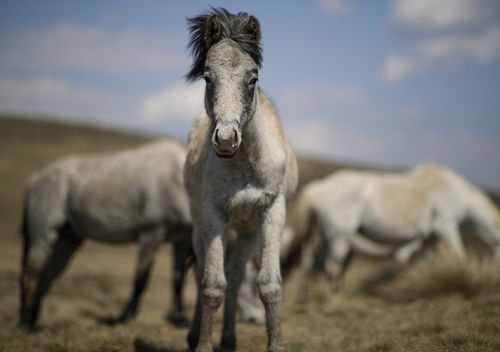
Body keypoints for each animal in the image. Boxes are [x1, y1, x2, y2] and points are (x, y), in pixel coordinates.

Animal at [18, 140, 193, 330]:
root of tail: (35, 179)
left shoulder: (181, 240)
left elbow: (178, 280)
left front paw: (179, 319)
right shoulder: (152, 235)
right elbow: (141, 280)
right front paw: (125, 317)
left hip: (68, 240)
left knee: (45, 277)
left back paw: (33, 323)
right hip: (42, 238)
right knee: (31, 276)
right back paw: (26, 324)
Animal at [186, 8, 298, 352]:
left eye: (253, 78)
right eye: (208, 77)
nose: (225, 139)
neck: (246, 164)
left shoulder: (273, 212)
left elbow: (269, 285)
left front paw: (276, 345)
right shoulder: (212, 216)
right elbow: (212, 285)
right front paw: (203, 345)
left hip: (248, 231)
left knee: (235, 277)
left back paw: (229, 339)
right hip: (199, 225)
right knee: (203, 273)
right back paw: (195, 335)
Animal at [284, 164, 500, 288]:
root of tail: (318, 187)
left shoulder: (429, 237)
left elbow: (422, 260)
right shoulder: (446, 226)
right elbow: (459, 255)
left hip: (329, 236)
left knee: (318, 266)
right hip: (340, 236)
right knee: (330, 267)